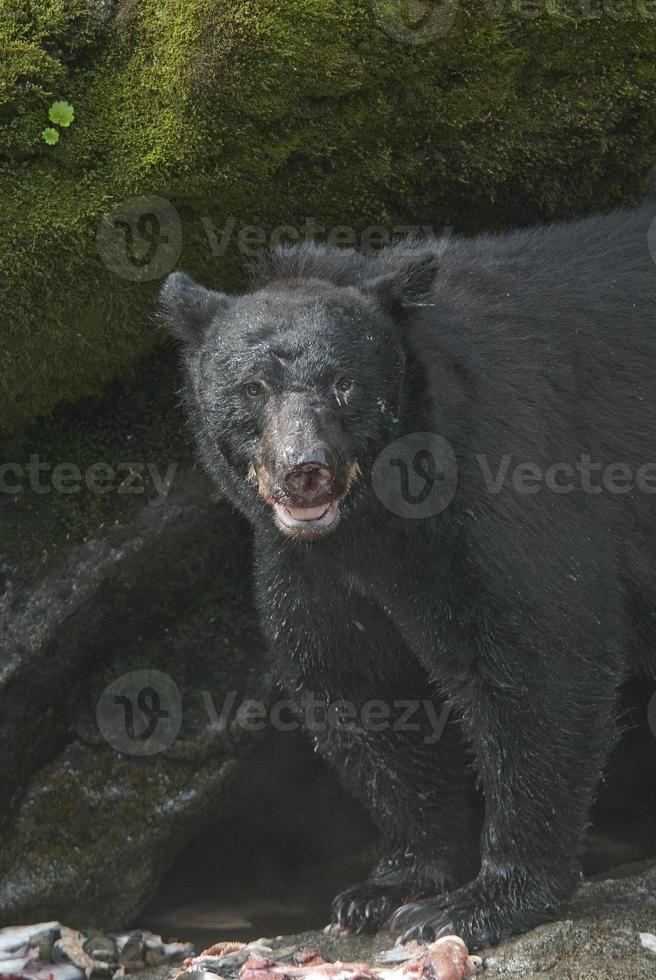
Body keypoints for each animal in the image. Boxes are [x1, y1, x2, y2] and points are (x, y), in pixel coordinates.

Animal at [159, 205, 656, 948]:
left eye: (343, 382)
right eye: (253, 387)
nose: (305, 469)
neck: (381, 517)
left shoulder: (507, 481)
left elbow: (540, 660)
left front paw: (480, 901)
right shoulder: (315, 568)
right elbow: (358, 685)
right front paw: (389, 885)